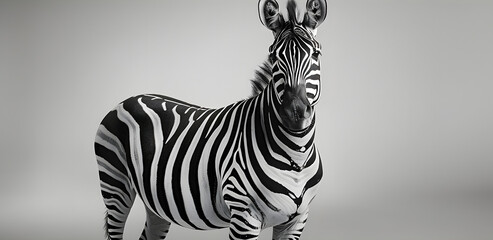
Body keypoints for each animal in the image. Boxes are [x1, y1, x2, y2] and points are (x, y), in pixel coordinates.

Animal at [95, 0, 326, 239]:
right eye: (273, 58)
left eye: (316, 54)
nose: (294, 111)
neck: (296, 154)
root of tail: (128, 99)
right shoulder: (244, 216)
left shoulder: (297, 220)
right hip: (115, 184)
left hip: (155, 201)